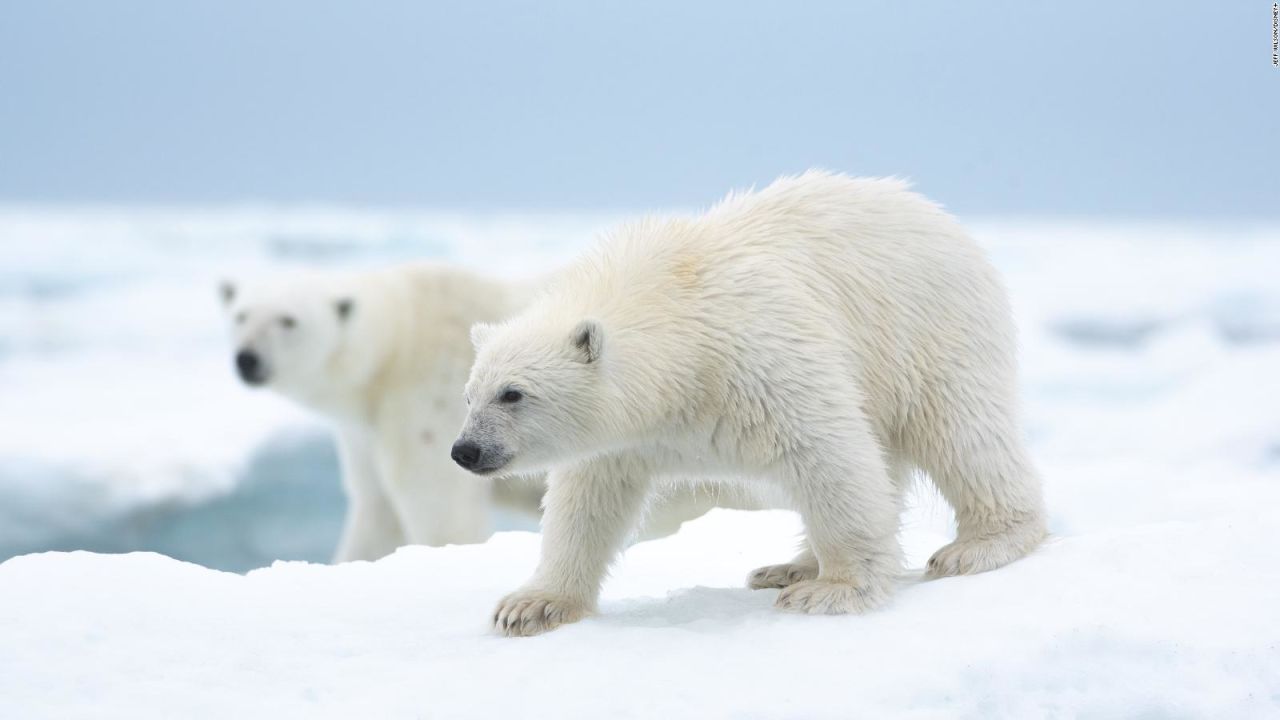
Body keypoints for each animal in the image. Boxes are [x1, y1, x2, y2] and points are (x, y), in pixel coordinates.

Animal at [455, 170, 1044, 630]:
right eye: (468, 395)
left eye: (513, 393)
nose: (465, 451)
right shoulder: (625, 436)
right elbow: (587, 500)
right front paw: (532, 605)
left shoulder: (760, 358)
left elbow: (828, 454)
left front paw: (833, 590)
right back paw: (787, 565)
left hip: (928, 331)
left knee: (959, 431)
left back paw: (979, 545)